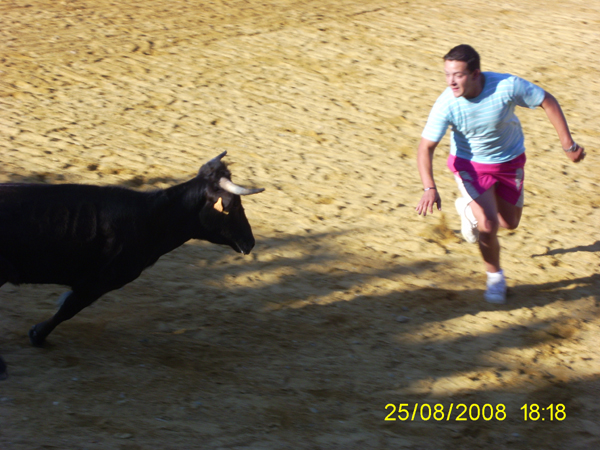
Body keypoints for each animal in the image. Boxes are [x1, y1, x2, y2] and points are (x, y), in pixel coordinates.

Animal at [0, 153, 262, 378]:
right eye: (233, 205)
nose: (250, 242)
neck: (150, 217)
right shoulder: (97, 282)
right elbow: (68, 309)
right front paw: (37, 335)